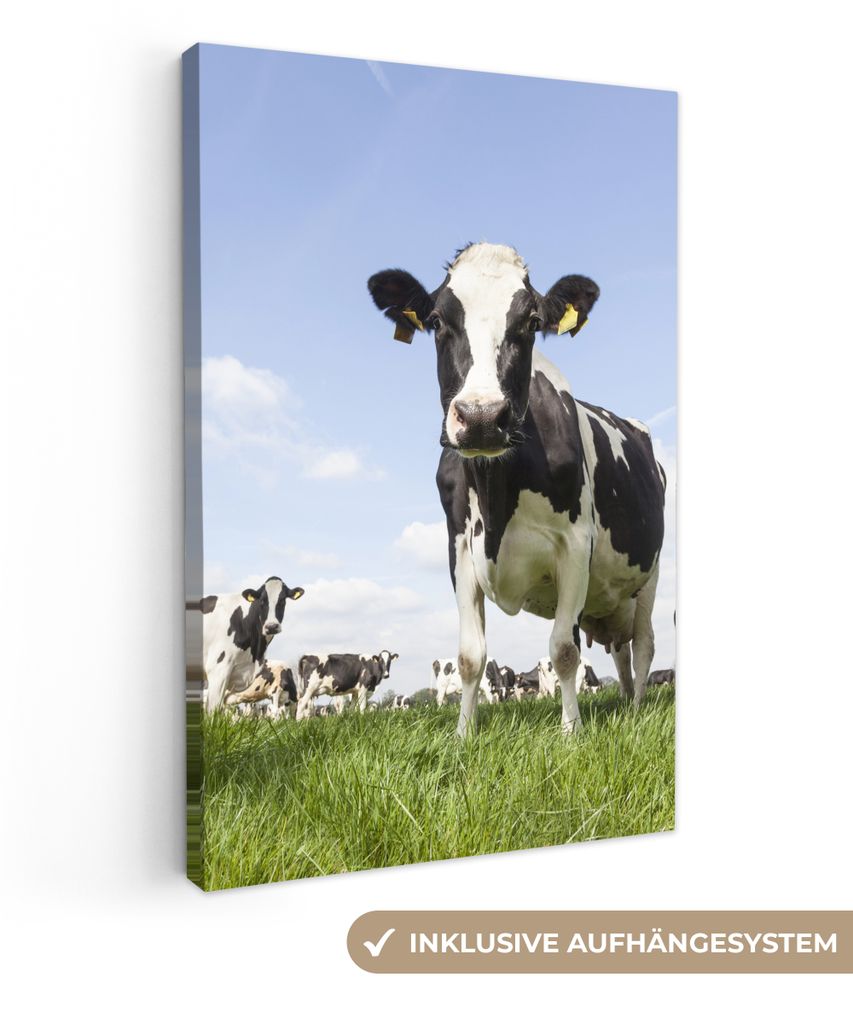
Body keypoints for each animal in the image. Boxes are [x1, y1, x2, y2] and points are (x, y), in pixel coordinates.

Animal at [368, 243, 666, 738]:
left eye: (530, 321)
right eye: (437, 321)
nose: (482, 417)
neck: (498, 494)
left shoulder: (575, 544)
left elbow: (563, 650)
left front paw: (571, 732)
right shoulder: (459, 548)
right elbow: (470, 656)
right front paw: (463, 735)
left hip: (651, 574)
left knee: (642, 644)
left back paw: (639, 708)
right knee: (620, 651)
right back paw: (625, 700)